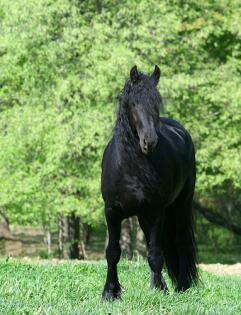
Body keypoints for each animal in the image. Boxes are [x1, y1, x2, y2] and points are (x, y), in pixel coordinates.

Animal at [100, 66, 197, 302]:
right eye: (134, 103)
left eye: (156, 102)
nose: (150, 142)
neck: (129, 169)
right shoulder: (112, 212)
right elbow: (113, 252)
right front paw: (110, 292)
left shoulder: (155, 212)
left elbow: (154, 253)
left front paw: (160, 290)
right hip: (144, 216)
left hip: (180, 205)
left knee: (180, 241)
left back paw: (181, 286)